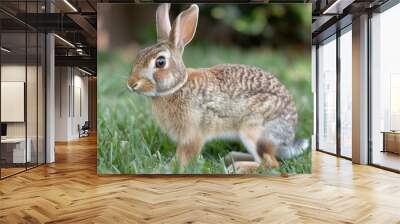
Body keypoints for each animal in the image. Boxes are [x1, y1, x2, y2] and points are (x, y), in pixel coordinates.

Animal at [126, 3, 308, 169]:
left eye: (160, 62)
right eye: (139, 54)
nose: (131, 84)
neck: (177, 86)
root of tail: (289, 132)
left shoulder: (192, 134)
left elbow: (185, 155)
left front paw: (170, 167)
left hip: (253, 129)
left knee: (271, 163)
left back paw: (237, 167)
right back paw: (231, 157)